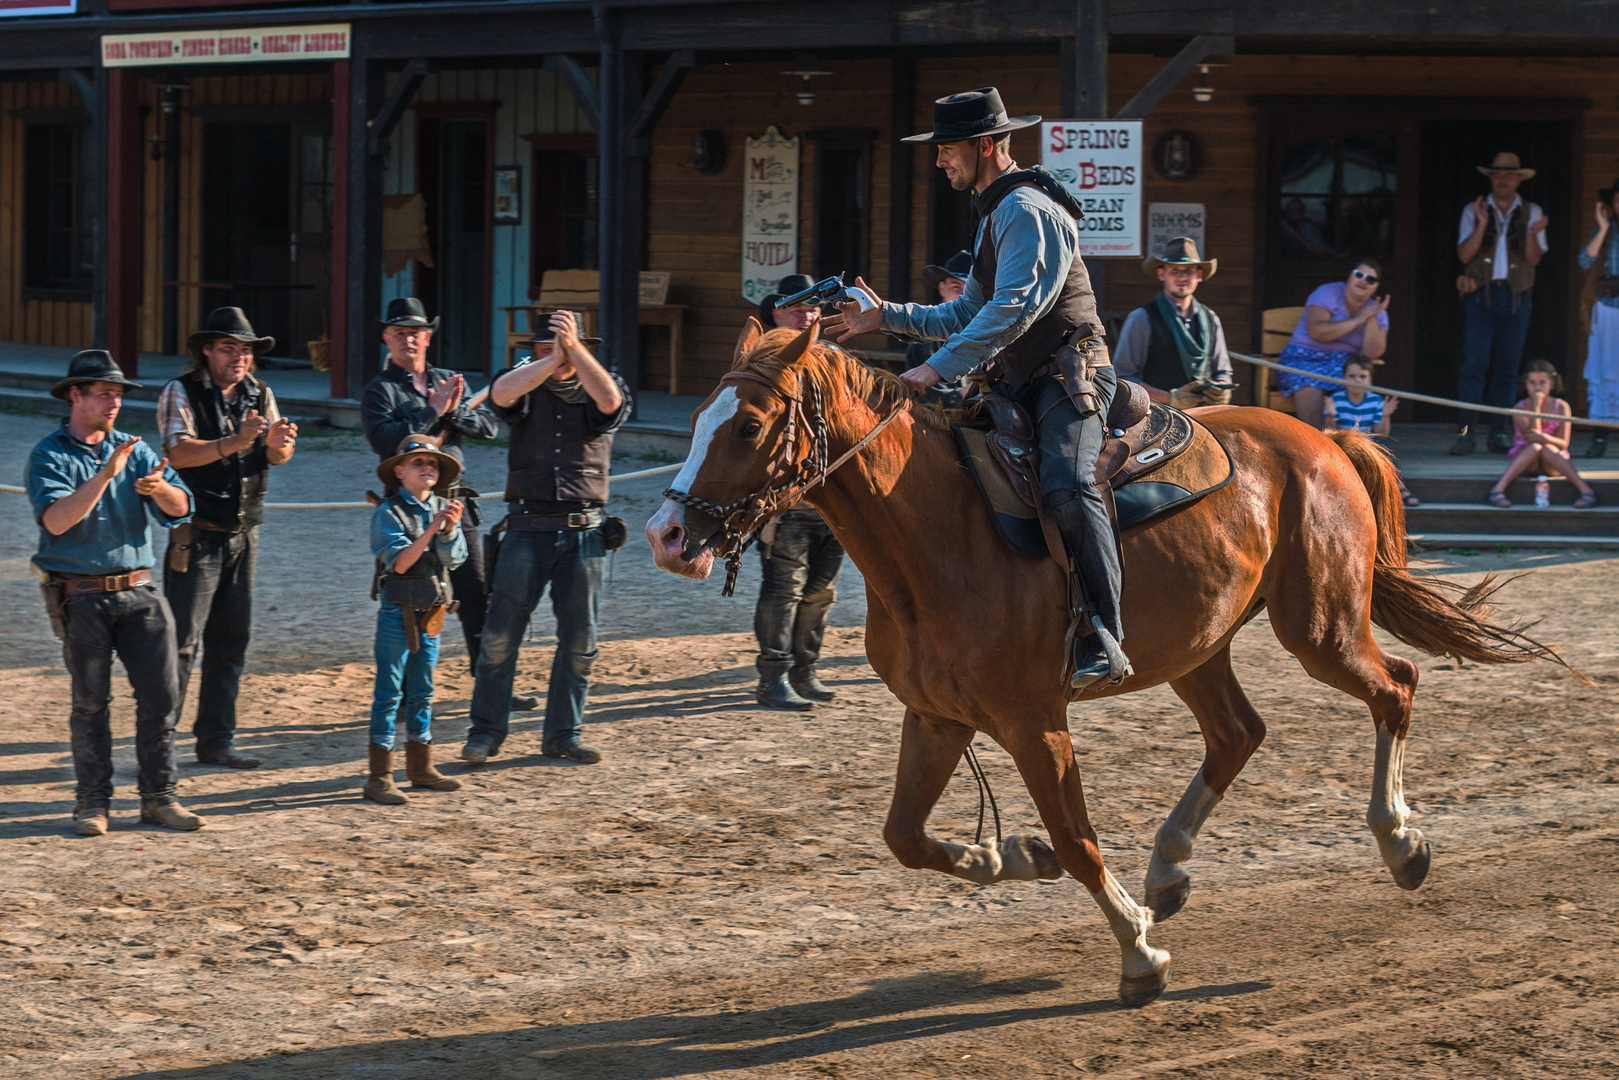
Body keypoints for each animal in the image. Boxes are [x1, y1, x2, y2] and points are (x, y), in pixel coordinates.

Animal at [641, 320, 1541, 1003]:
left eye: (748, 425)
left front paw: (1137, 954)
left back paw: (1400, 842)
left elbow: (1076, 841)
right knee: (1237, 734)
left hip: (1318, 626)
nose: (666, 535)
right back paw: (1168, 869)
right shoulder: (937, 716)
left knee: (1395, 688)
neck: (934, 532)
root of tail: (1322, 437)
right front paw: (1007, 855)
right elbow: (906, 835)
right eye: (699, 415)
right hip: (1198, 645)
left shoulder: (1033, 722)